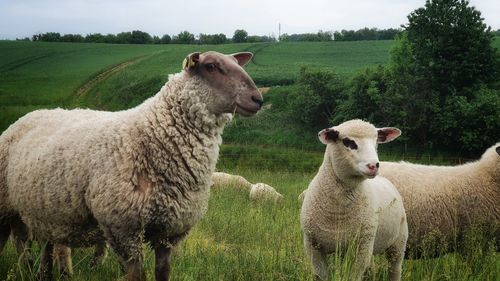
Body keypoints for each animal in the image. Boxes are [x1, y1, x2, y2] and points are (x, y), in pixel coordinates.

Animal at [0, 50, 264, 280]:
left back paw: (41, 273)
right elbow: (137, 275)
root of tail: (27, 116)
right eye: (210, 66)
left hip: (46, 214)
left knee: (46, 247)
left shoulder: (169, 232)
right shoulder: (124, 228)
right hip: (6, 207)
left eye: (238, 64)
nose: (258, 99)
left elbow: (163, 273)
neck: (154, 133)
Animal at [298, 119, 408, 278]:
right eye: (348, 142)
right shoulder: (313, 246)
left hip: (398, 242)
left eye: (376, 142)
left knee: (395, 269)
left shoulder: (361, 248)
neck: (337, 212)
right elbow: (322, 275)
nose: (374, 165)